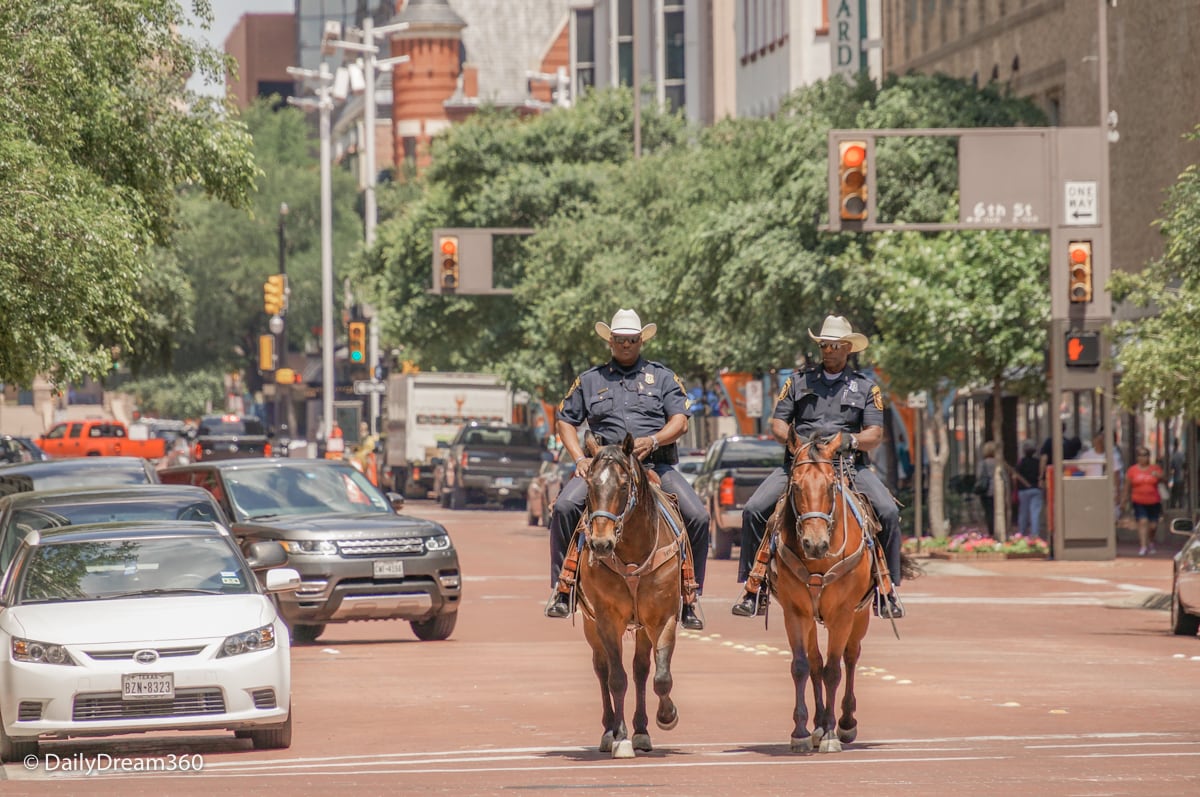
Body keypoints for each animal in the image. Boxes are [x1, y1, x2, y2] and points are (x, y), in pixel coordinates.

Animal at [578, 432, 686, 758]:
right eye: (590, 485)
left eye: (624, 486)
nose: (601, 543)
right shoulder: (607, 619)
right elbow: (616, 679)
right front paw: (620, 736)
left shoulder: (663, 617)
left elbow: (660, 677)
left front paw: (667, 716)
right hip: (590, 624)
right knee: (602, 670)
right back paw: (608, 731)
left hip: (641, 626)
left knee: (641, 670)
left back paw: (642, 731)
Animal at [772, 429, 878, 753]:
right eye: (796, 485)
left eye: (831, 485)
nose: (815, 543)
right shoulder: (795, 612)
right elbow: (802, 666)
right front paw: (801, 731)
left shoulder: (842, 614)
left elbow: (834, 670)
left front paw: (832, 732)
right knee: (816, 662)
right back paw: (818, 724)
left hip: (860, 615)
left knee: (851, 657)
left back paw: (845, 722)